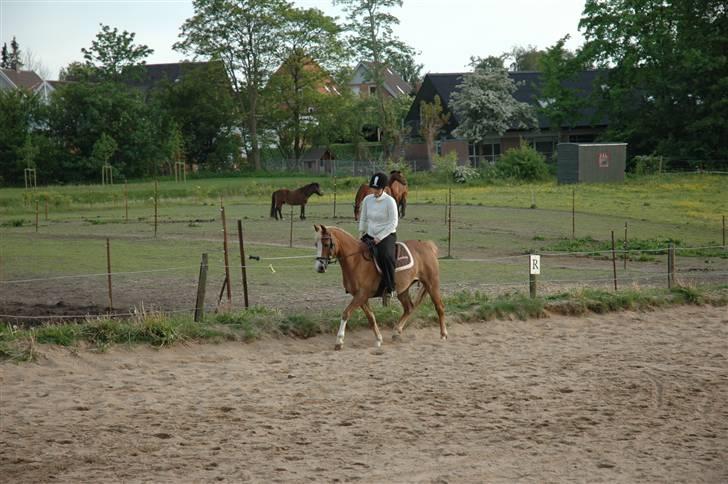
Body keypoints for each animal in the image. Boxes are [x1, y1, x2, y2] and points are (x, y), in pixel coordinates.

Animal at [312, 225, 446, 350]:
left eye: (326, 244)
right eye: (316, 244)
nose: (319, 267)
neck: (357, 261)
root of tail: (428, 245)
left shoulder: (361, 295)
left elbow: (346, 313)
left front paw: (339, 341)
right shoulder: (361, 297)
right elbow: (371, 317)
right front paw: (378, 339)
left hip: (431, 283)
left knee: (439, 307)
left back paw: (443, 335)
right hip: (403, 290)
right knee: (409, 308)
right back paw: (396, 332)